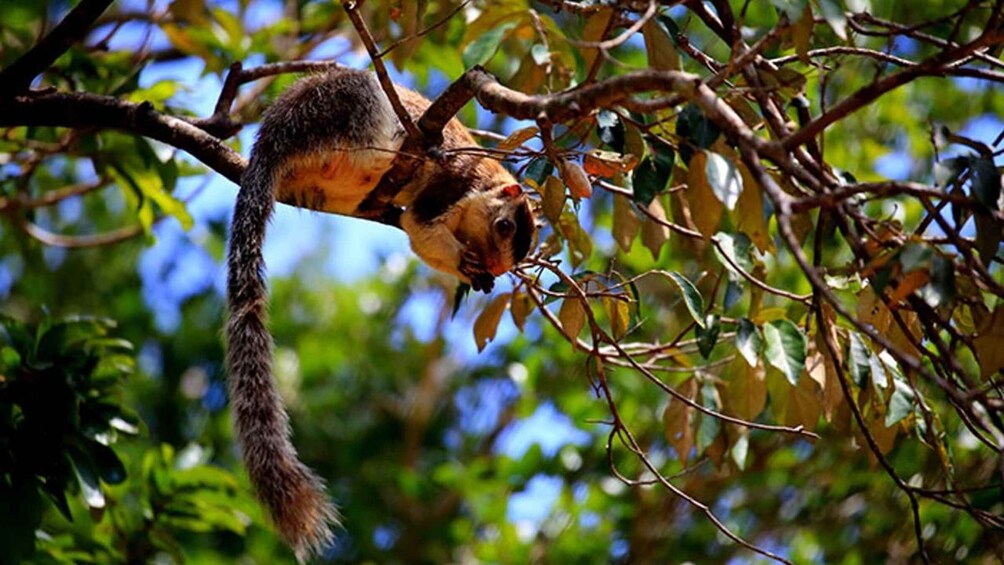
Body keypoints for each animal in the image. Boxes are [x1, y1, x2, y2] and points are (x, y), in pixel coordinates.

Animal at [224, 69, 538, 561]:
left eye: (507, 262)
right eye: (503, 226)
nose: (490, 264)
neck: (482, 186)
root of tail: (269, 144)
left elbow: (419, 239)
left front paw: (476, 276)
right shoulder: (449, 188)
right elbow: (420, 227)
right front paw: (463, 262)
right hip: (346, 110)